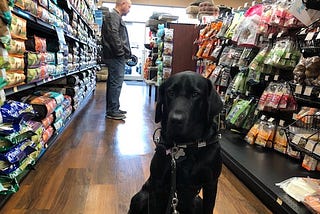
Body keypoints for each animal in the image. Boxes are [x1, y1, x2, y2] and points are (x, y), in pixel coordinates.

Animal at [129, 71, 224, 213]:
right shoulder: (157, 185)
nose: (175, 119)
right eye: (171, 92)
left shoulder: (211, 184)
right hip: (140, 197)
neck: (186, 145)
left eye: (195, 94)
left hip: (198, 202)